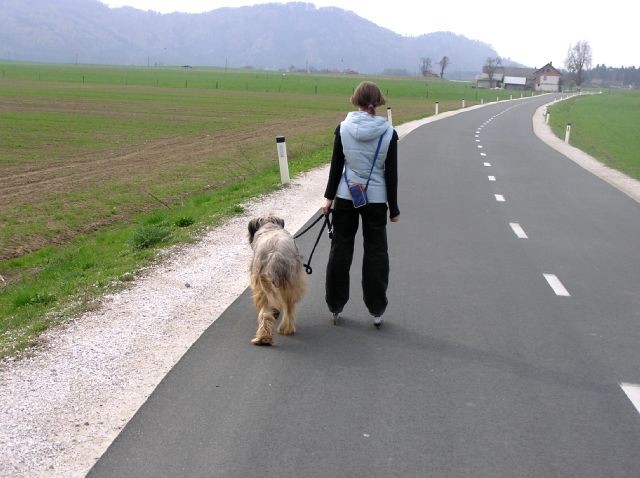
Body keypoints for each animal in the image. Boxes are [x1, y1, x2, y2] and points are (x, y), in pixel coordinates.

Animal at [248, 216, 304, 344]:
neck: (269, 226)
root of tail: (274, 256)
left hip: (262, 286)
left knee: (266, 312)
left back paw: (263, 338)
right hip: (290, 284)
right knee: (288, 308)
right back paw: (286, 329)